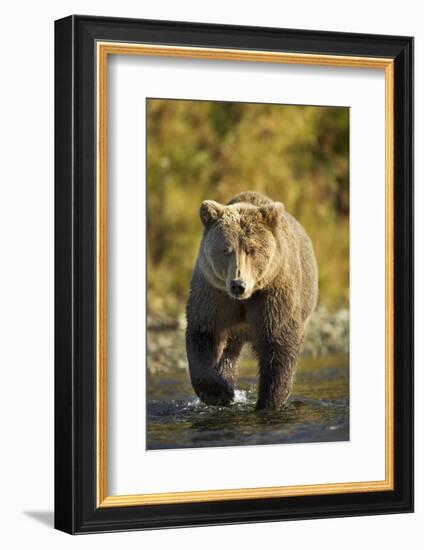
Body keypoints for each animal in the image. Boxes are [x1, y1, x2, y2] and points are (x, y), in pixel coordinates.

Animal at [186, 192, 318, 412]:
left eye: (252, 250)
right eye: (226, 250)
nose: (238, 285)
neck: (244, 300)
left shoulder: (272, 295)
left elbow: (278, 345)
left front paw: (268, 402)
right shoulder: (214, 294)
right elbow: (204, 334)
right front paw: (220, 392)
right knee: (228, 351)